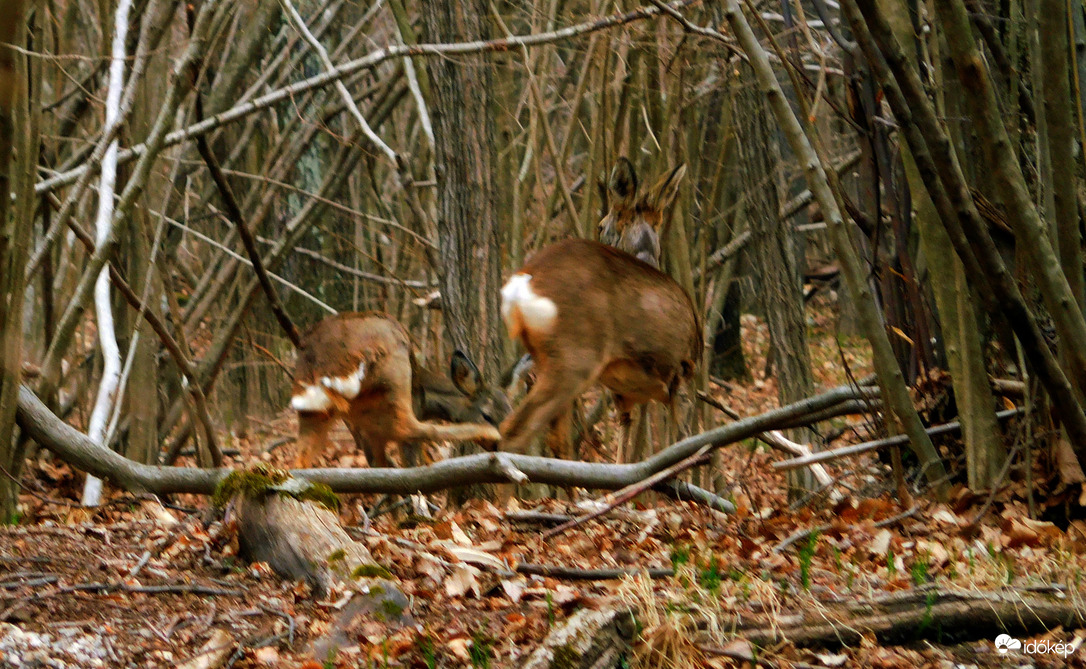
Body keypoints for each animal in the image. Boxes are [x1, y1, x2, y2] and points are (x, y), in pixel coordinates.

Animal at [291, 312, 506, 464]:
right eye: (488, 415)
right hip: (396, 374)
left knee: (300, 460)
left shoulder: (366, 431)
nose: (501, 445)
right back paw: (486, 432)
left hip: (312, 407)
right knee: (412, 429)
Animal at [497, 240, 699, 464]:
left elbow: (623, 448)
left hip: (549, 358)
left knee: (557, 441)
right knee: (515, 431)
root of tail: (524, 280)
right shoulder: (681, 379)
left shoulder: (624, 396)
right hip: (578, 355)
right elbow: (683, 439)